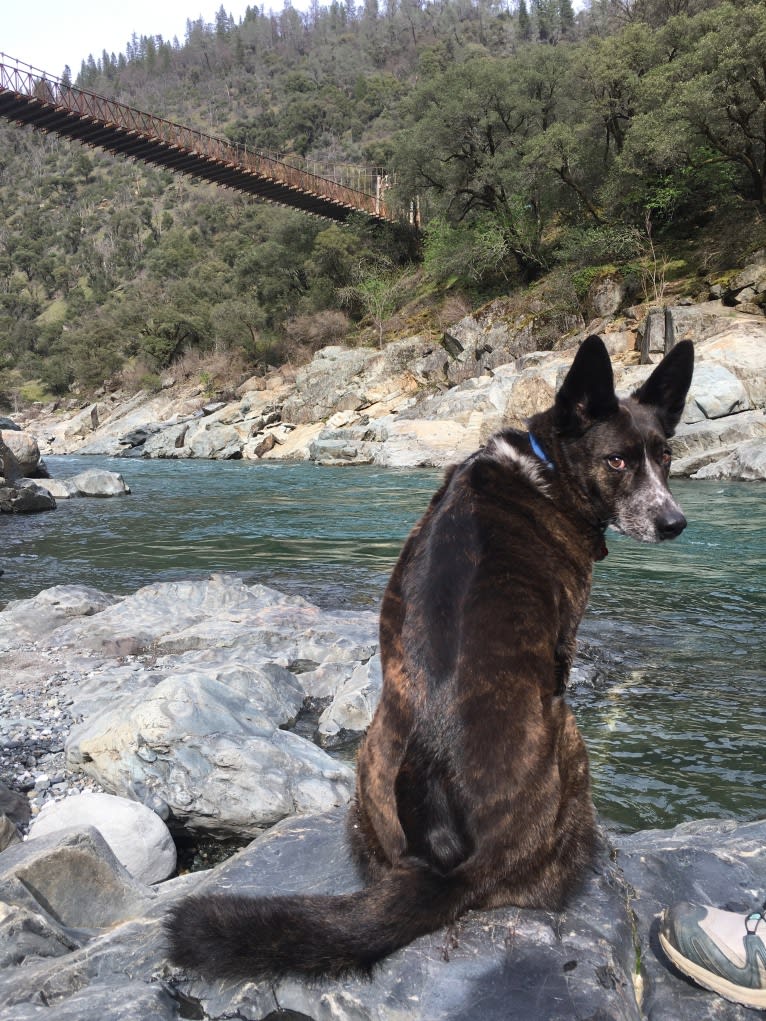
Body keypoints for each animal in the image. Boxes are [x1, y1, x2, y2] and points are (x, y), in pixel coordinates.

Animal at [167, 334, 694, 980]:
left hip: (369, 762)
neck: (544, 466)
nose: (674, 523)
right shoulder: (563, 645)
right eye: (617, 461)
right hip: (567, 733)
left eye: (665, 456)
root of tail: (452, 868)